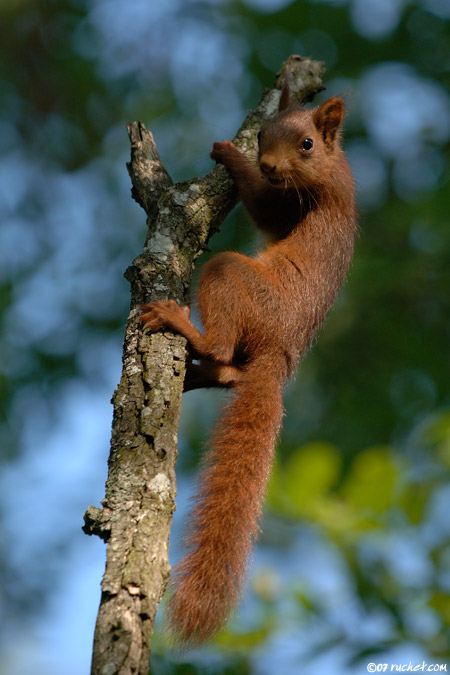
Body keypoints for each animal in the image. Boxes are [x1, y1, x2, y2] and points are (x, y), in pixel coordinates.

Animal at [140, 81, 357, 647]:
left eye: (307, 143)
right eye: (262, 133)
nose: (265, 162)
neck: (337, 167)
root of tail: (280, 356)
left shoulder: (297, 202)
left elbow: (262, 207)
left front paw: (229, 156)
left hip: (233, 277)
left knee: (220, 342)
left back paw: (180, 324)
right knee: (229, 369)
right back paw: (203, 372)